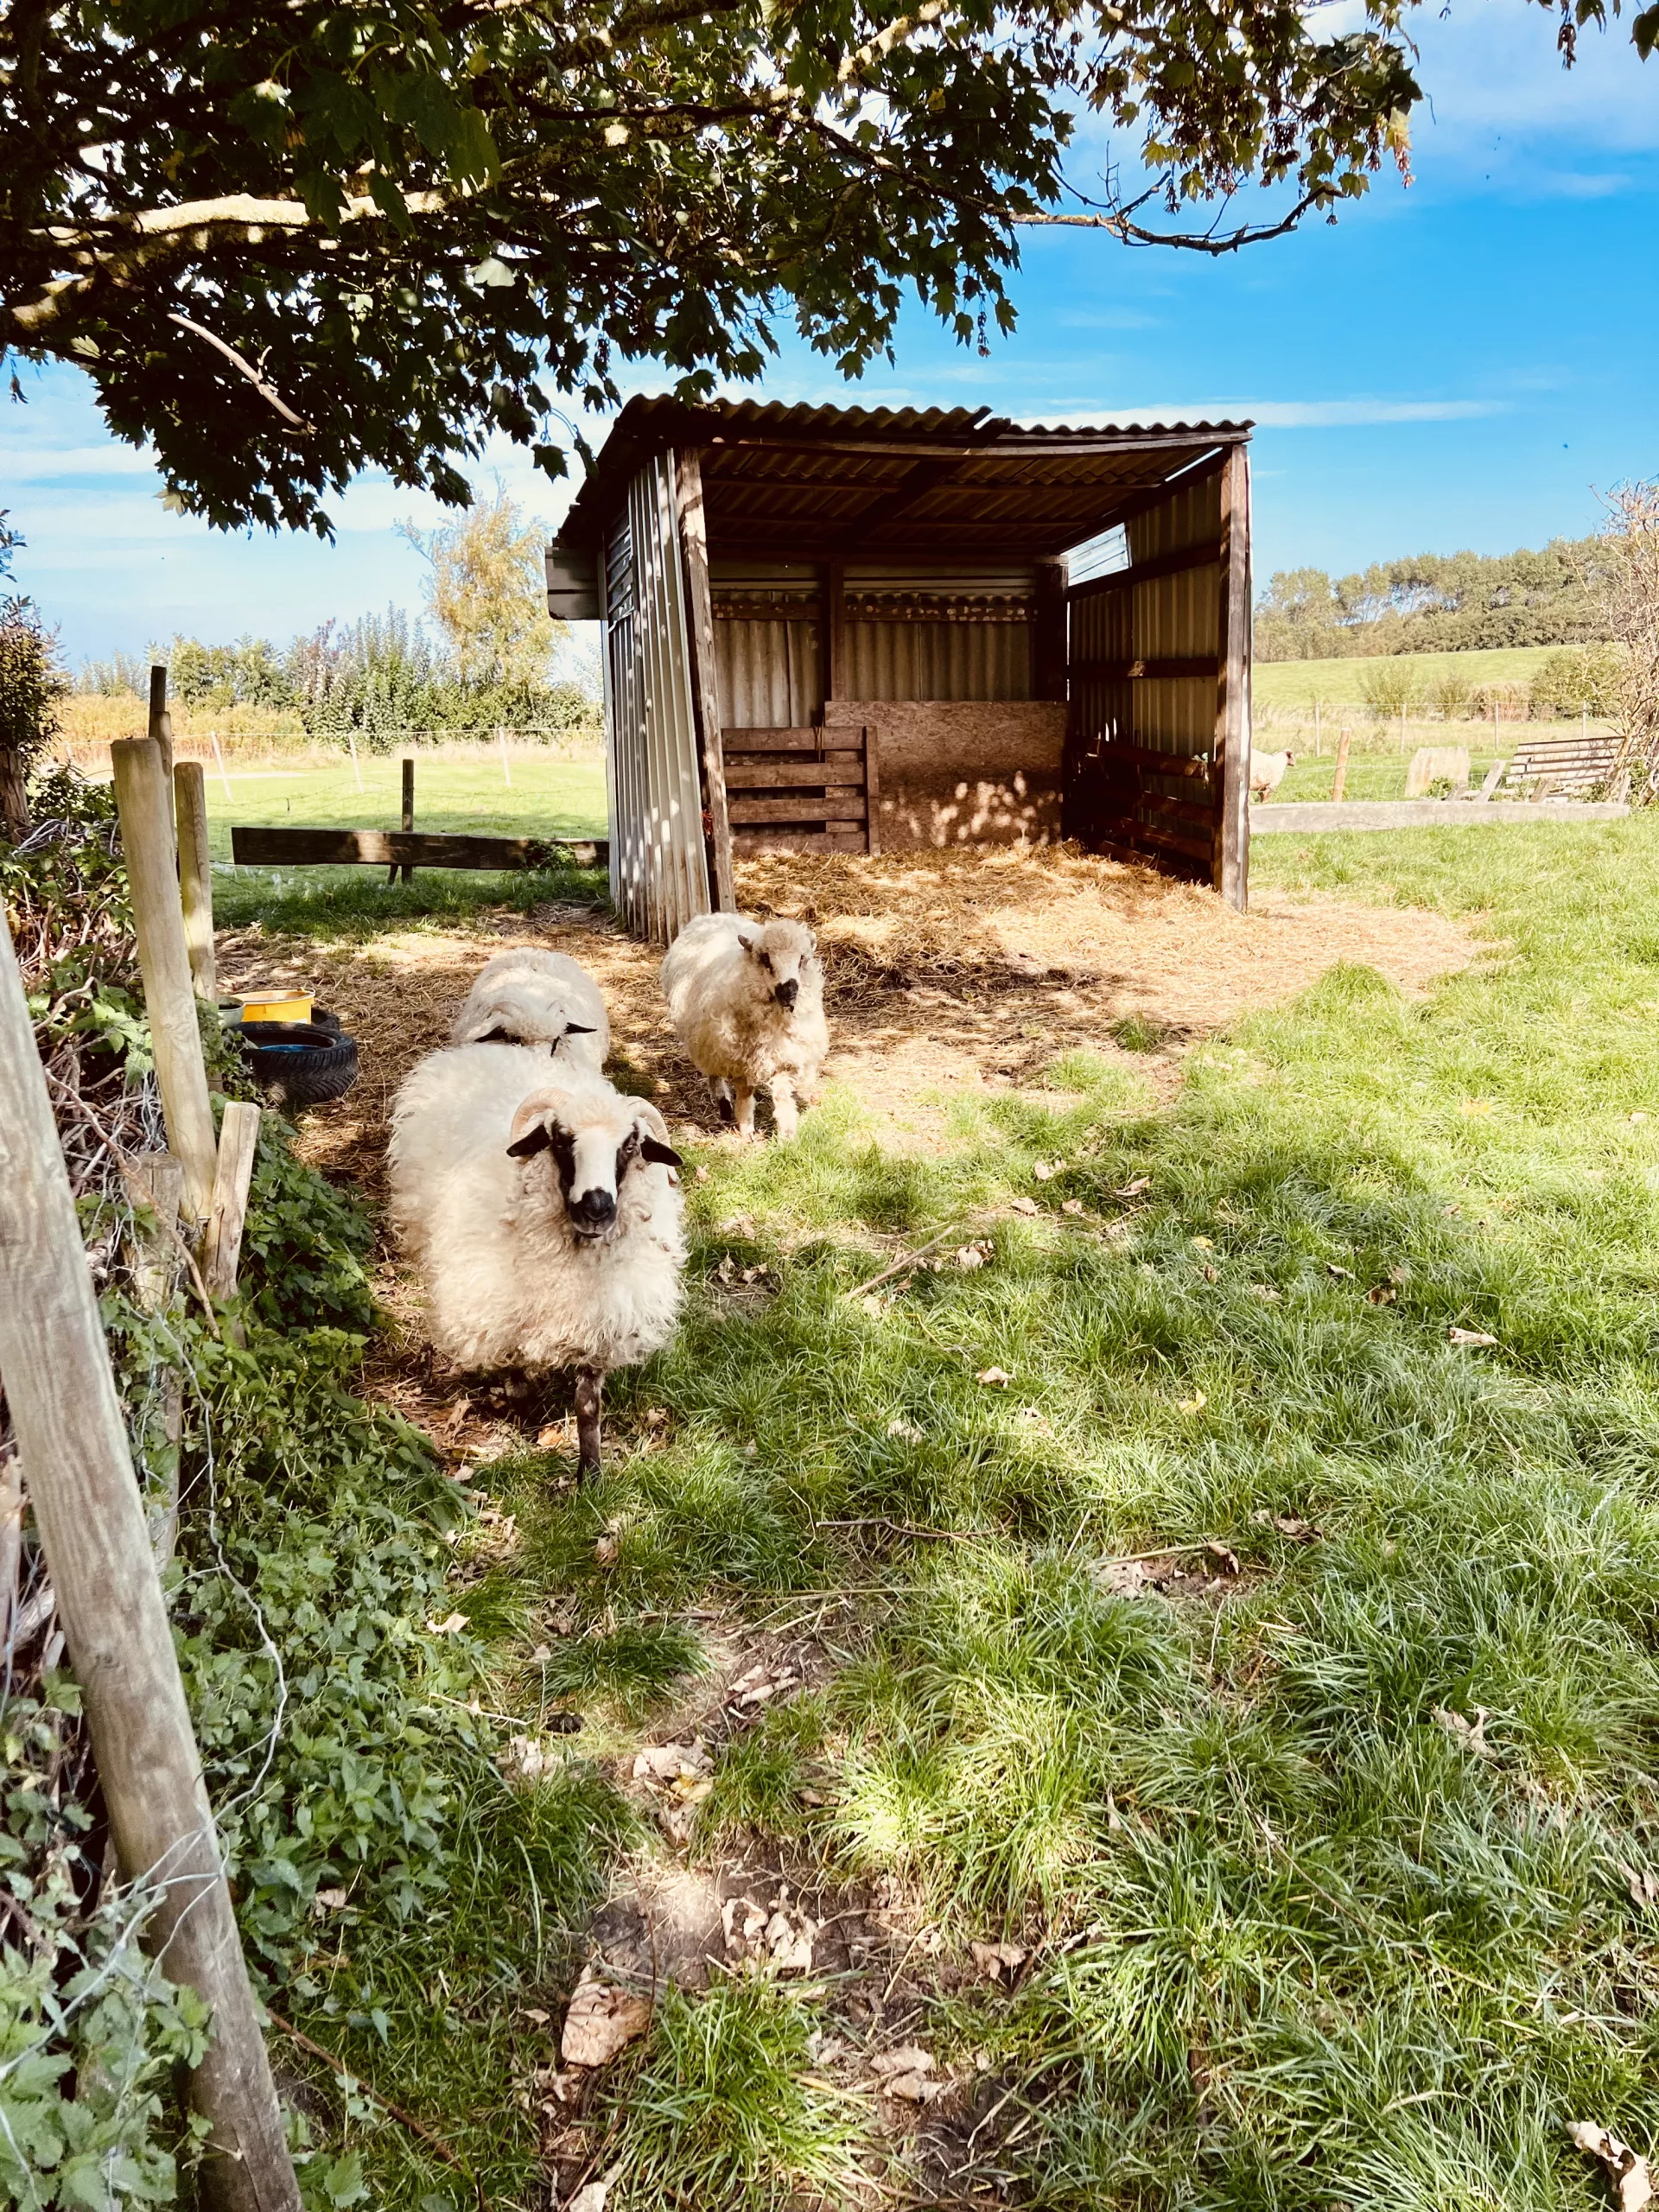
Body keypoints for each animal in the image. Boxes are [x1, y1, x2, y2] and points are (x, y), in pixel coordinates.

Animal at [387, 1044, 685, 1478]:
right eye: (560, 1139)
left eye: (630, 1144)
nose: (596, 1208)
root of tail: (485, 1049)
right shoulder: (501, 1310)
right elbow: (517, 1379)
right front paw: (526, 1416)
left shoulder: (601, 1322)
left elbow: (588, 1406)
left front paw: (590, 1474)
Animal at [660, 912, 828, 1139]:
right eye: (765, 958)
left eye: (802, 959)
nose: (789, 992)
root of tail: (711, 915)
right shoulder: (740, 1059)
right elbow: (745, 1093)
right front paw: (746, 1129)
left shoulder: (784, 1056)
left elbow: (782, 1096)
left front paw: (787, 1135)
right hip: (708, 1042)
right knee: (714, 1073)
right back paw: (724, 1105)